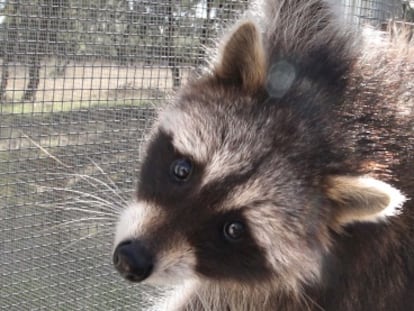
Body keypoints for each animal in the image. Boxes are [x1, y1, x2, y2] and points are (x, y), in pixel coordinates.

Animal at [111, 0, 412, 311]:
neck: (341, 135)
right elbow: (307, 10)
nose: (130, 260)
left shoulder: (340, 282)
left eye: (234, 229)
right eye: (182, 170)